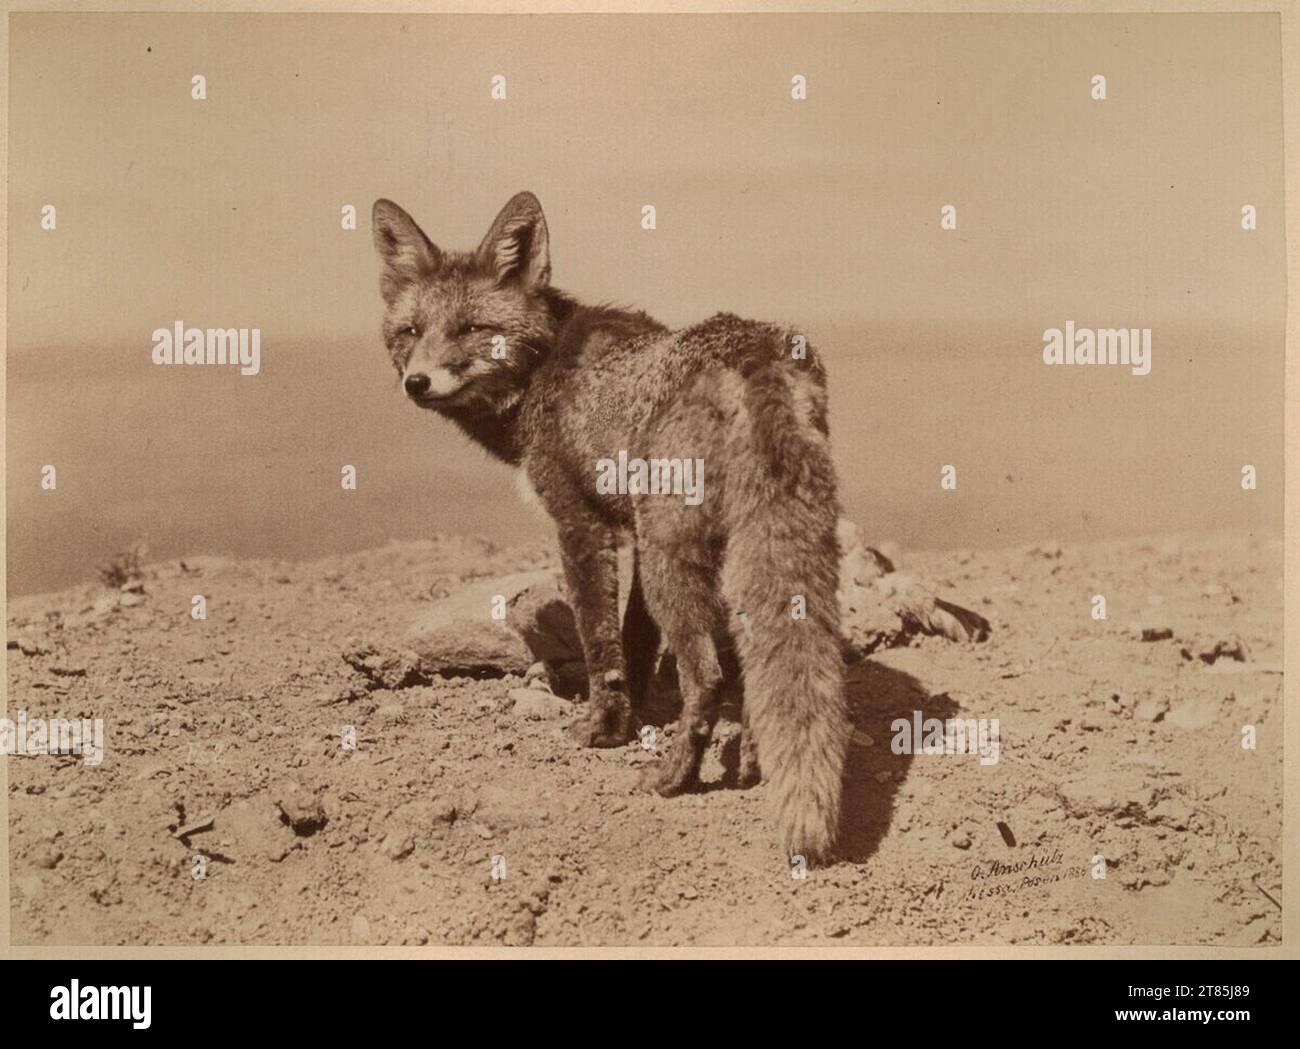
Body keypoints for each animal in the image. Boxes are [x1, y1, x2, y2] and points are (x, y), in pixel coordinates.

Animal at [371, 191, 850, 860]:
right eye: (410, 331)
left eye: (472, 330)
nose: (417, 382)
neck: (541, 370)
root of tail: (754, 349)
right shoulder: (634, 532)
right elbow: (636, 637)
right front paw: (635, 717)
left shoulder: (582, 524)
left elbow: (601, 640)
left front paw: (603, 728)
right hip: (723, 550)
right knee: (755, 671)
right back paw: (751, 765)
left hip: (675, 555)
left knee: (708, 676)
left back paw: (674, 778)